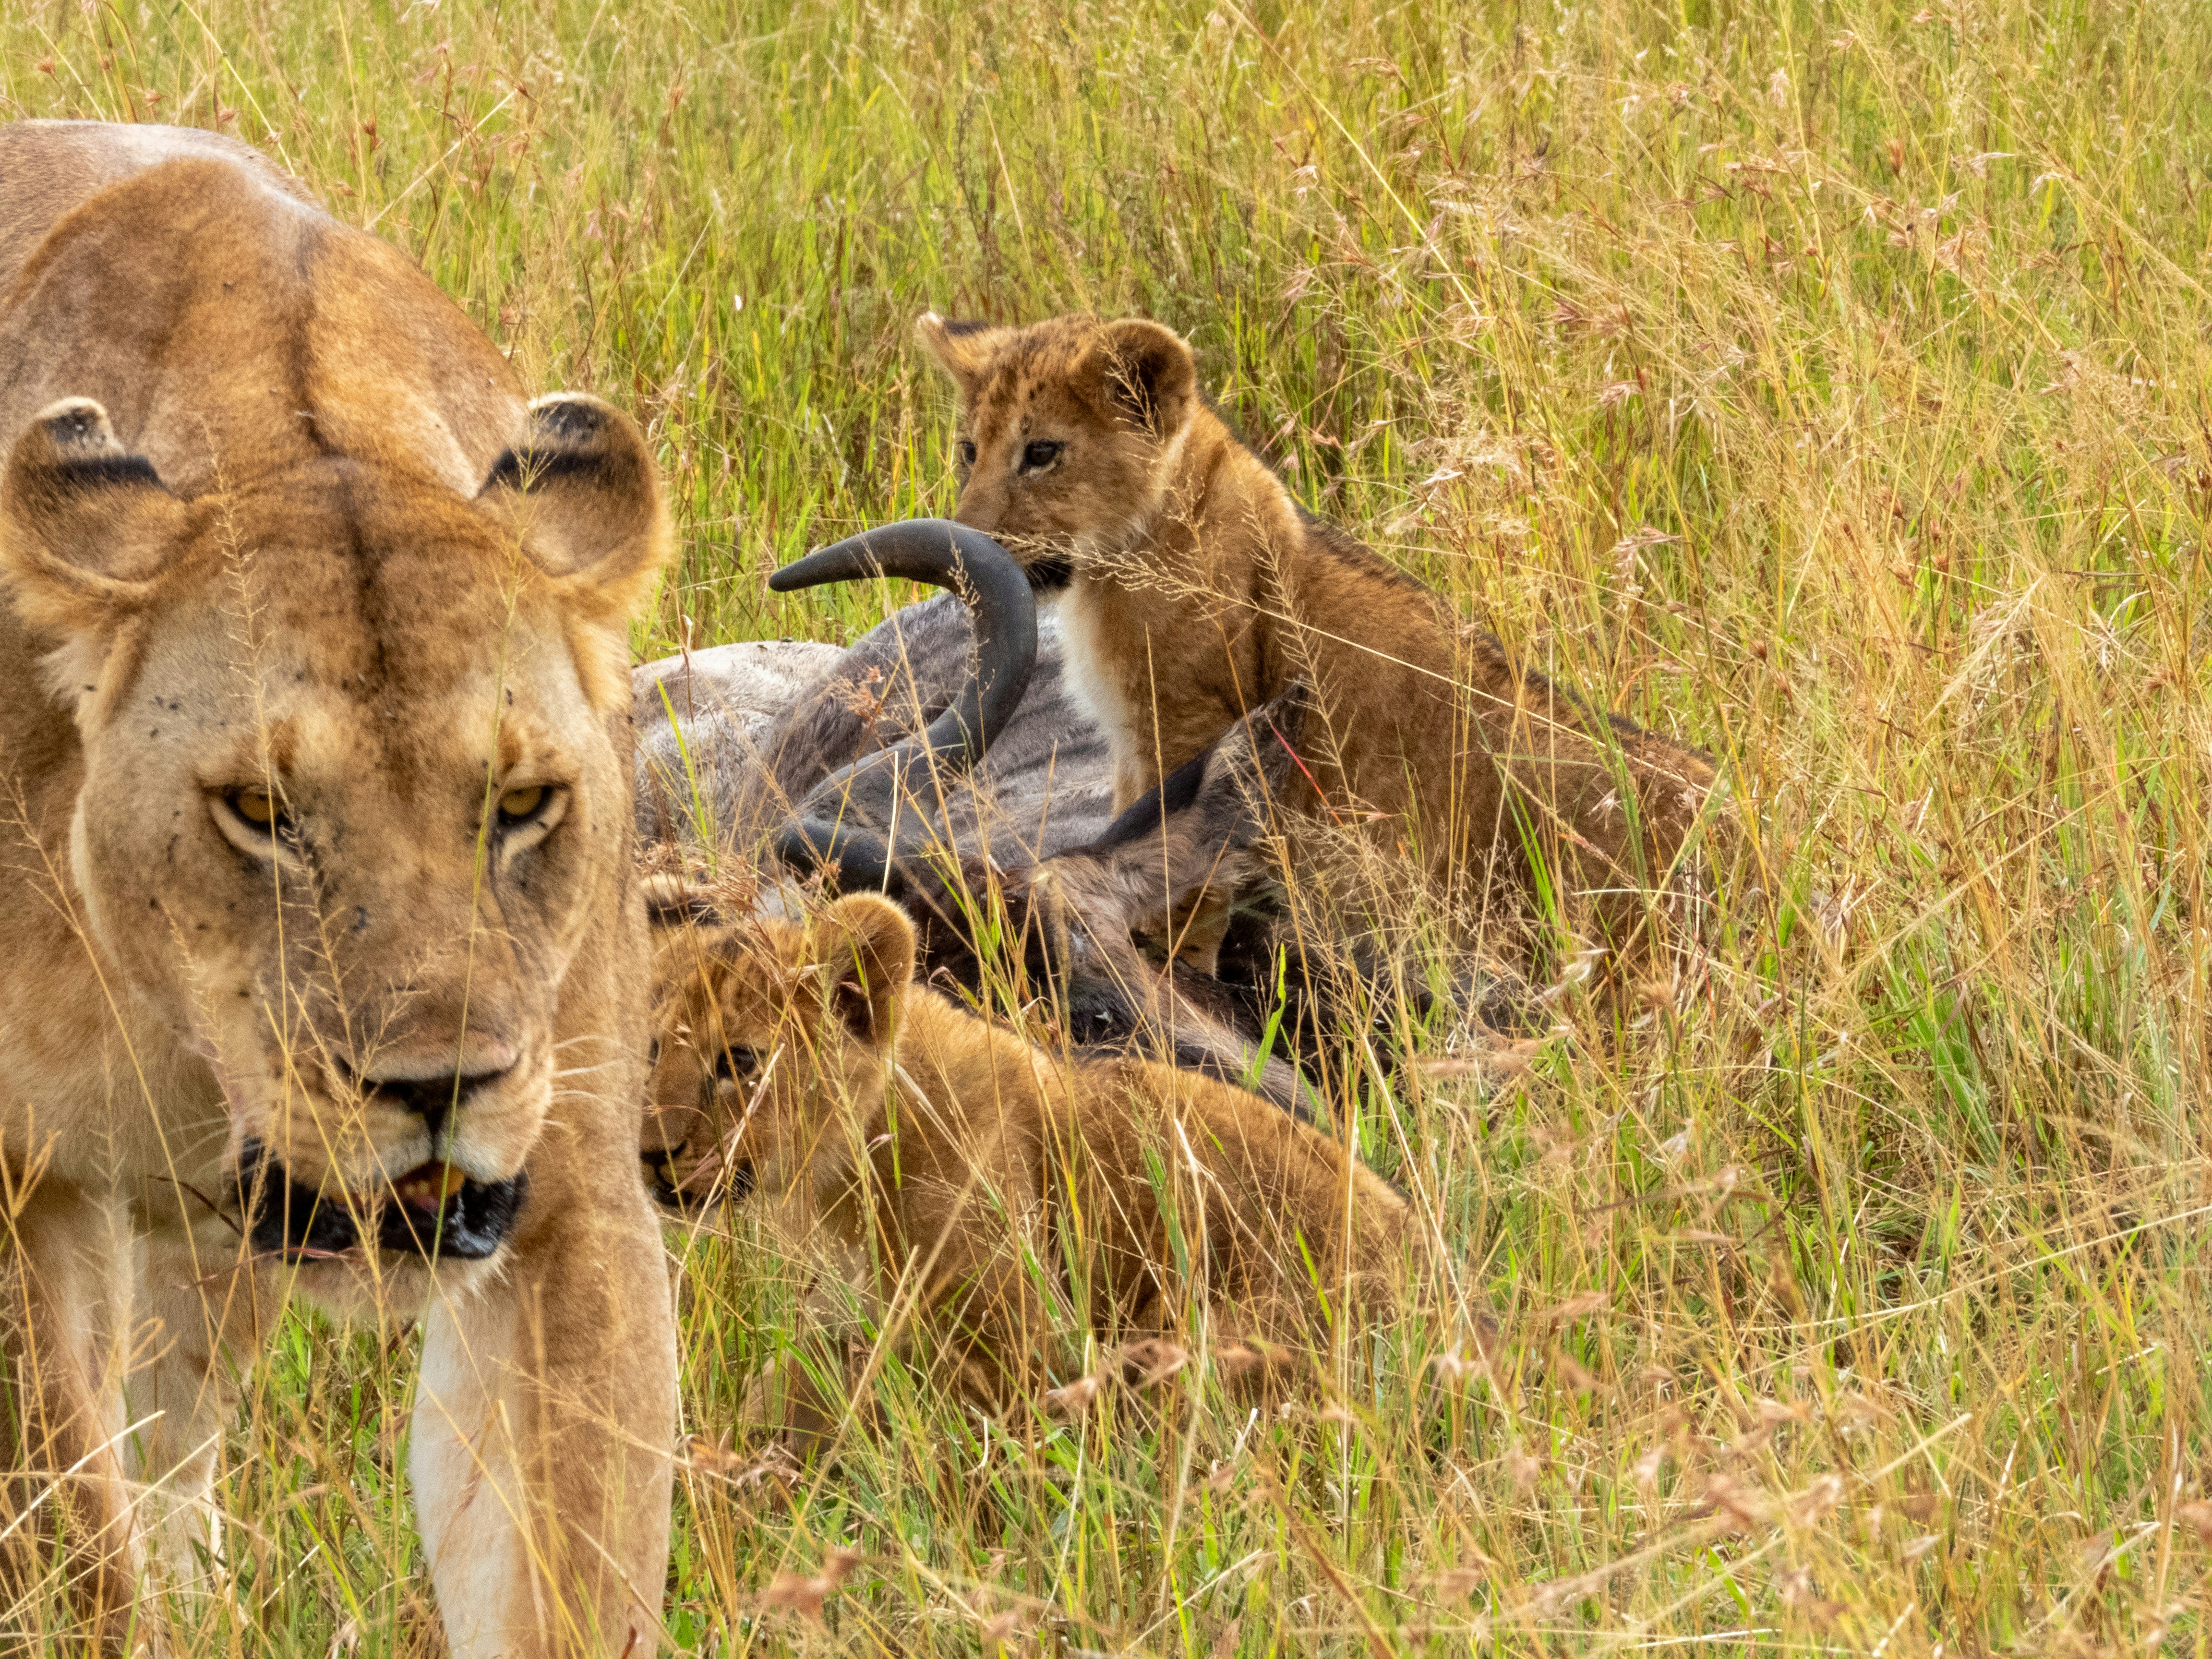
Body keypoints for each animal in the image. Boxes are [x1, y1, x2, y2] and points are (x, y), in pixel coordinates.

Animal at [0, 121, 674, 1654]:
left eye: (520, 804)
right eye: (260, 812)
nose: (436, 1088)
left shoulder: (569, 1200)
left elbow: (568, 1568)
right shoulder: (10, 1186)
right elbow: (71, 1552)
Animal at [642, 890, 1410, 1446]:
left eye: (740, 1061)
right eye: (653, 1049)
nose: (649, 1153)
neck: (850, 1171)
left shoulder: (1015, 1345)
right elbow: (792, 1381)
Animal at [915, 311, 1723, 960]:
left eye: (1043, 453)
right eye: (968, 449)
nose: (962, 546)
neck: (1117, 561)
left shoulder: (1187, 721)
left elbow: (1179, 875)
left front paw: (1167, 962)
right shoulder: (1130, 742)